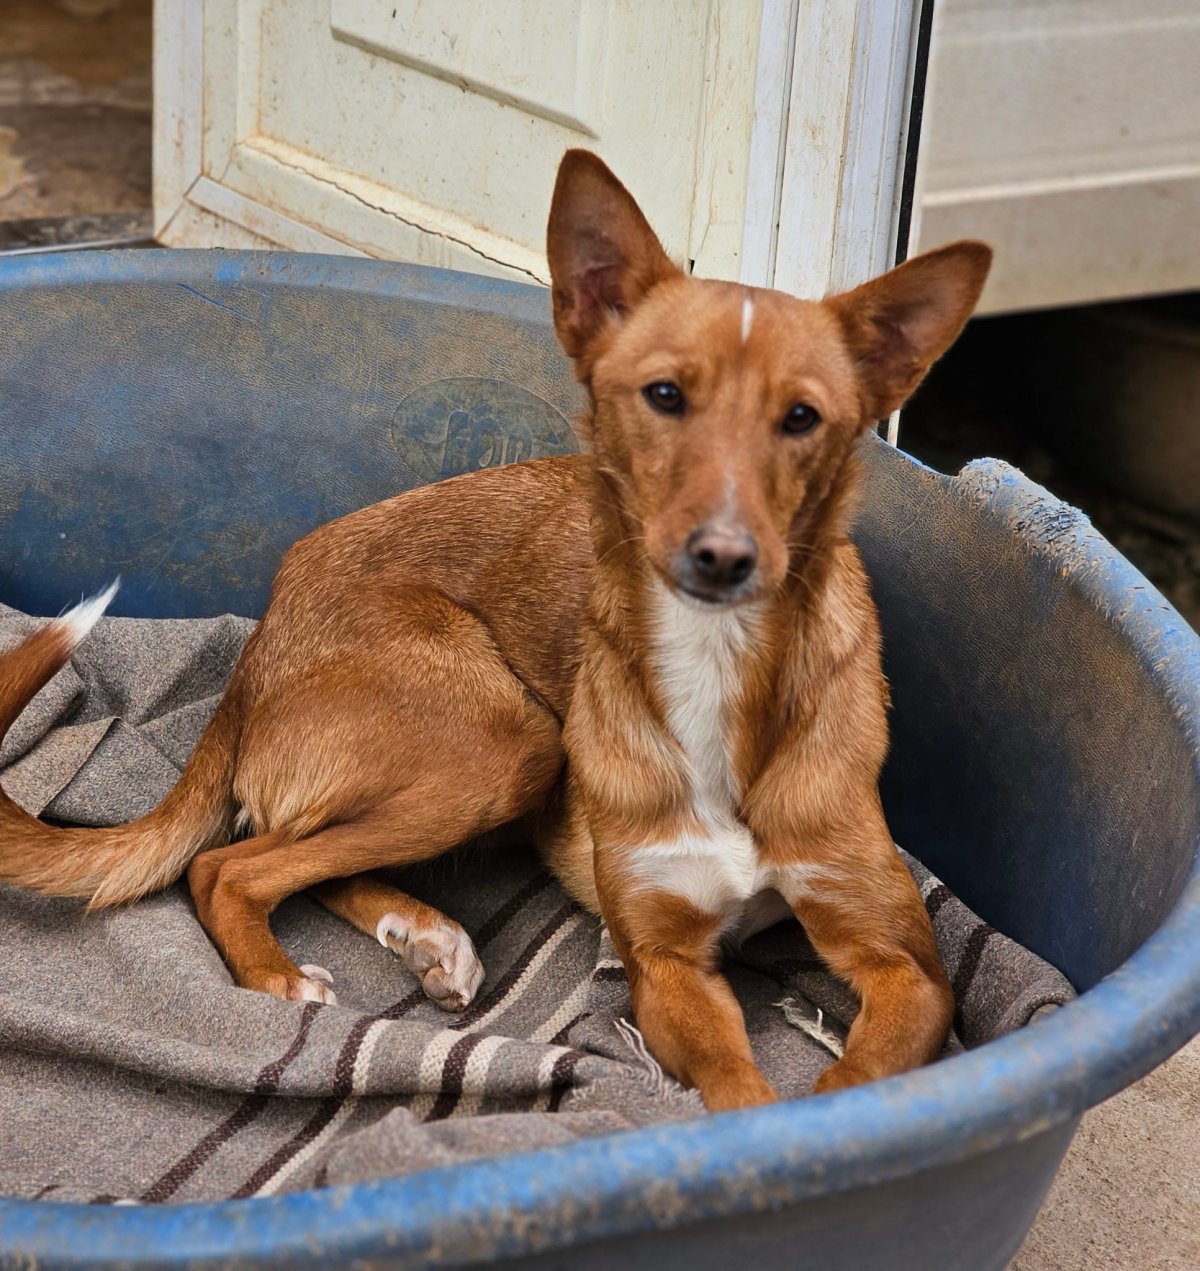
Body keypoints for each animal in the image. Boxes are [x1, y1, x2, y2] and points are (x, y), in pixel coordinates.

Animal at [0, 151, 990, 1111]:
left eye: (802, 417)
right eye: (664, 395)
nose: (723, 556)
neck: (718, 671)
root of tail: (261, 639)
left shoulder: (908, 966)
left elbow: (858, 1084)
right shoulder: (664, 965)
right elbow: (739, 1096)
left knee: (294, 855)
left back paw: (422, 932)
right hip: (508, 744)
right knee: (230, 866)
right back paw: (284, 976)